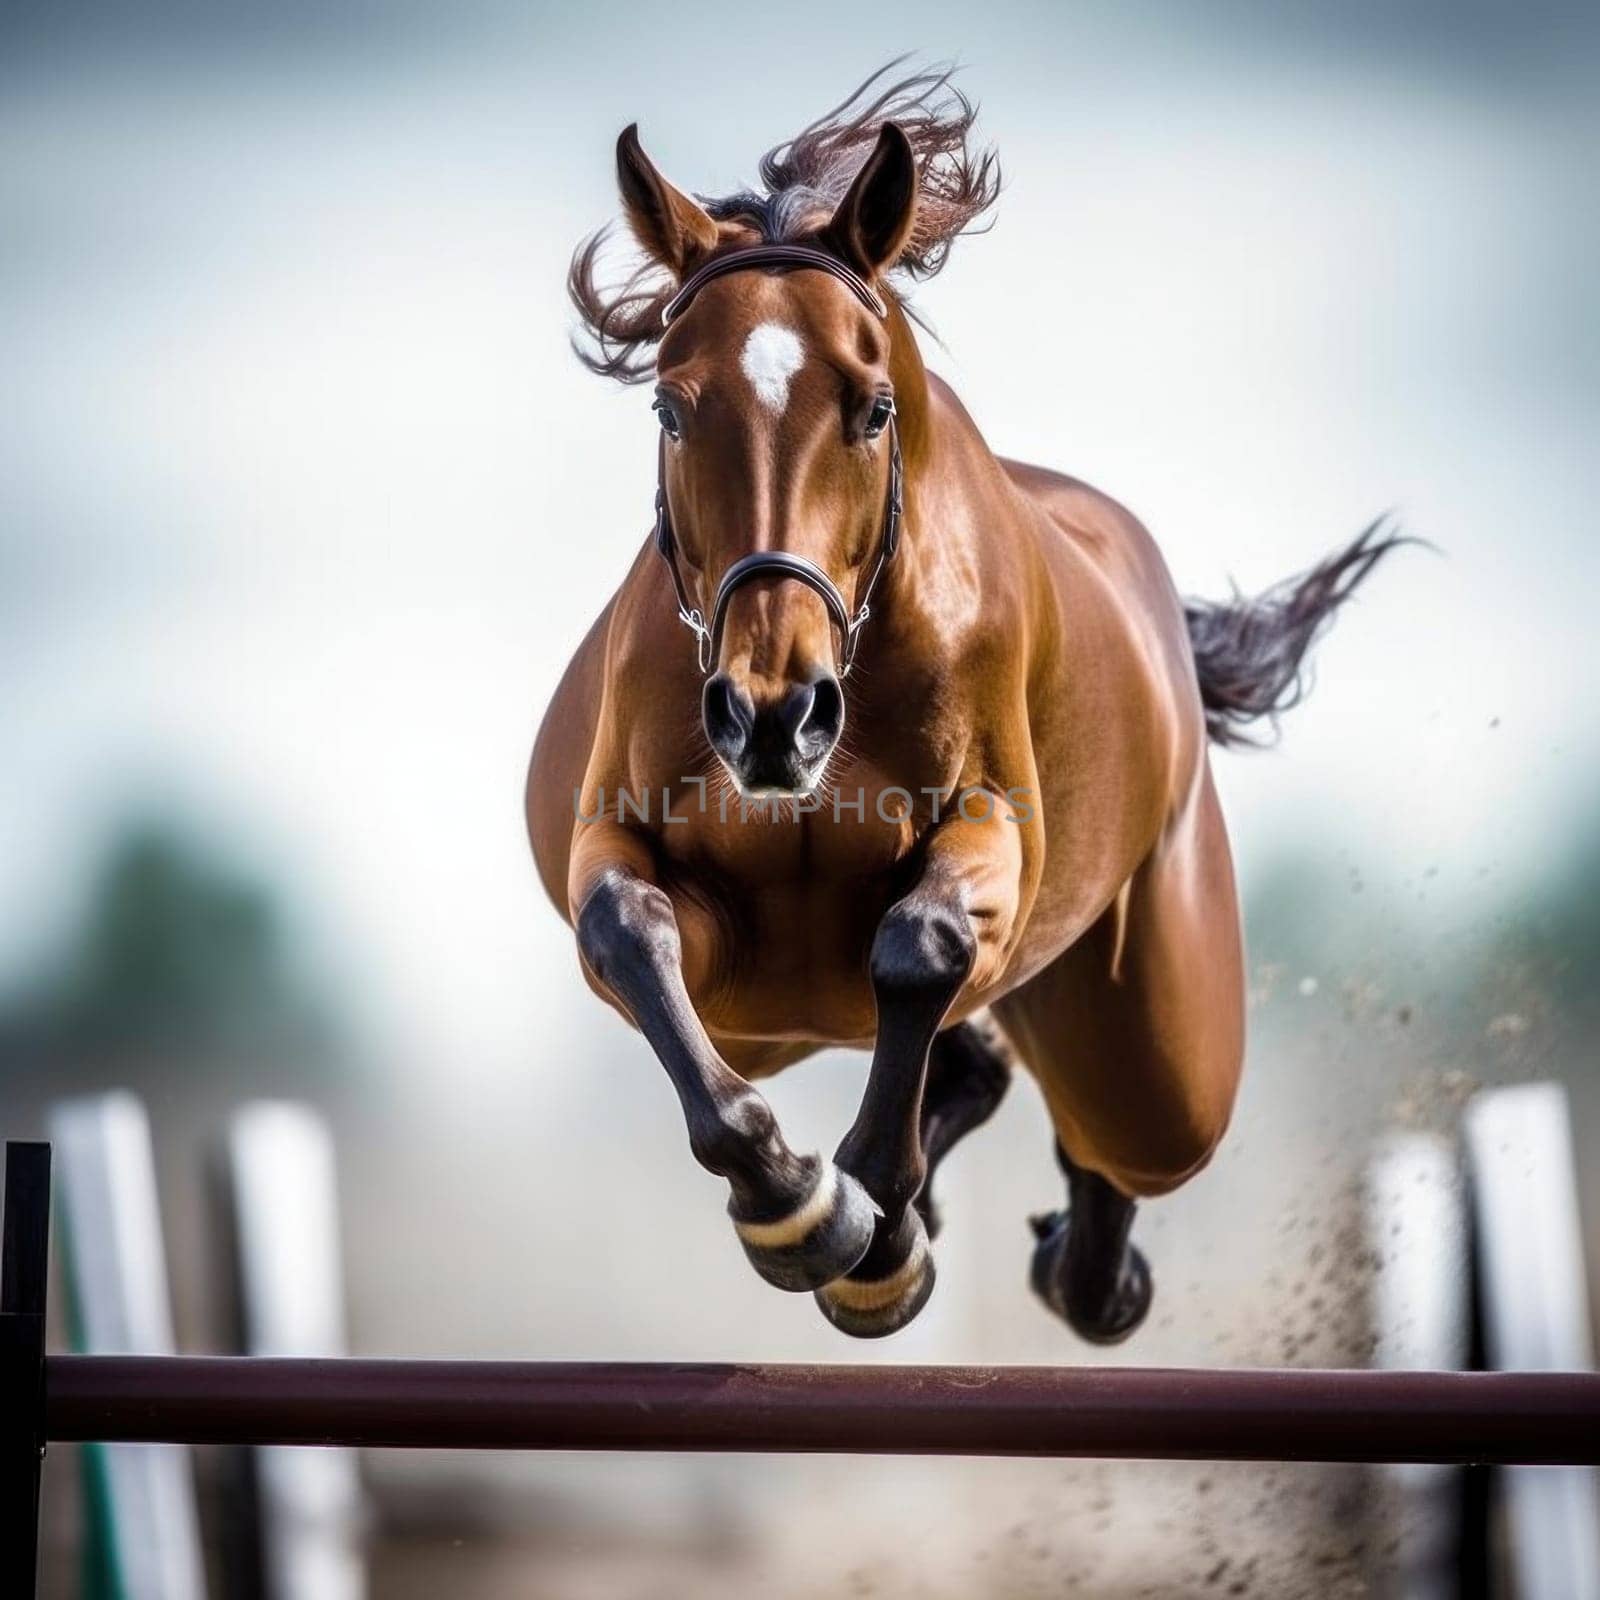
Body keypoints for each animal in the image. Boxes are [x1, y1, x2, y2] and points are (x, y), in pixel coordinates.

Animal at [528, 65, 1401, 1337]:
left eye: (872, 408)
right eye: (671, 410)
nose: (774, 716)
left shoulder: (988, 840)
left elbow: (920, 943)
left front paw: (867, 1224)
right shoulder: (640, 861)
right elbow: (627, 926)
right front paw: (797, 1202)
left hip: (1157, 1053)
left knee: (1113, 1140)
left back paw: (1073, 1262)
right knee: (988, 1069)